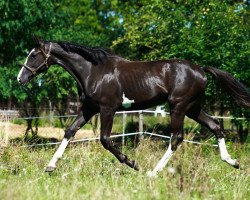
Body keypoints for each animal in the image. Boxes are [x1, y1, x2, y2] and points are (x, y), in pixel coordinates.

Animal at [16, 37, 249, 175]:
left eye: (33, 55)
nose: (20, 78)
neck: (93, 71)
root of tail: (201, 69)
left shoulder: (107, 109)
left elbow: (105, 139)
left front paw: (132, 163)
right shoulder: (89, 109)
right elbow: (69, 131)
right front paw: (50, 166)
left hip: (178, 106)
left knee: (176, 138)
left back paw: (153, 172)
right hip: (193, 108)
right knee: (216, 126)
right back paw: (233, 162)